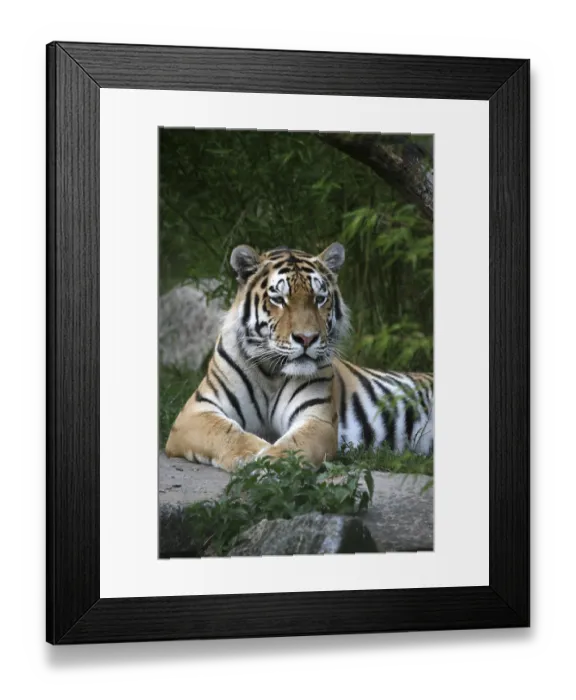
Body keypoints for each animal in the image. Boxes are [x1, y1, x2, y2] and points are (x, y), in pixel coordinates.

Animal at [164, 242, 434, 472]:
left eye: (320, 299)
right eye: (278, 299)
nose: (307, 338)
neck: (270, 372)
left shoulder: (317, 418)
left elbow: (293, 445)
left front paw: (269, 462)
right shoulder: (195, 412)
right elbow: (228, 433)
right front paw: (255, 454)